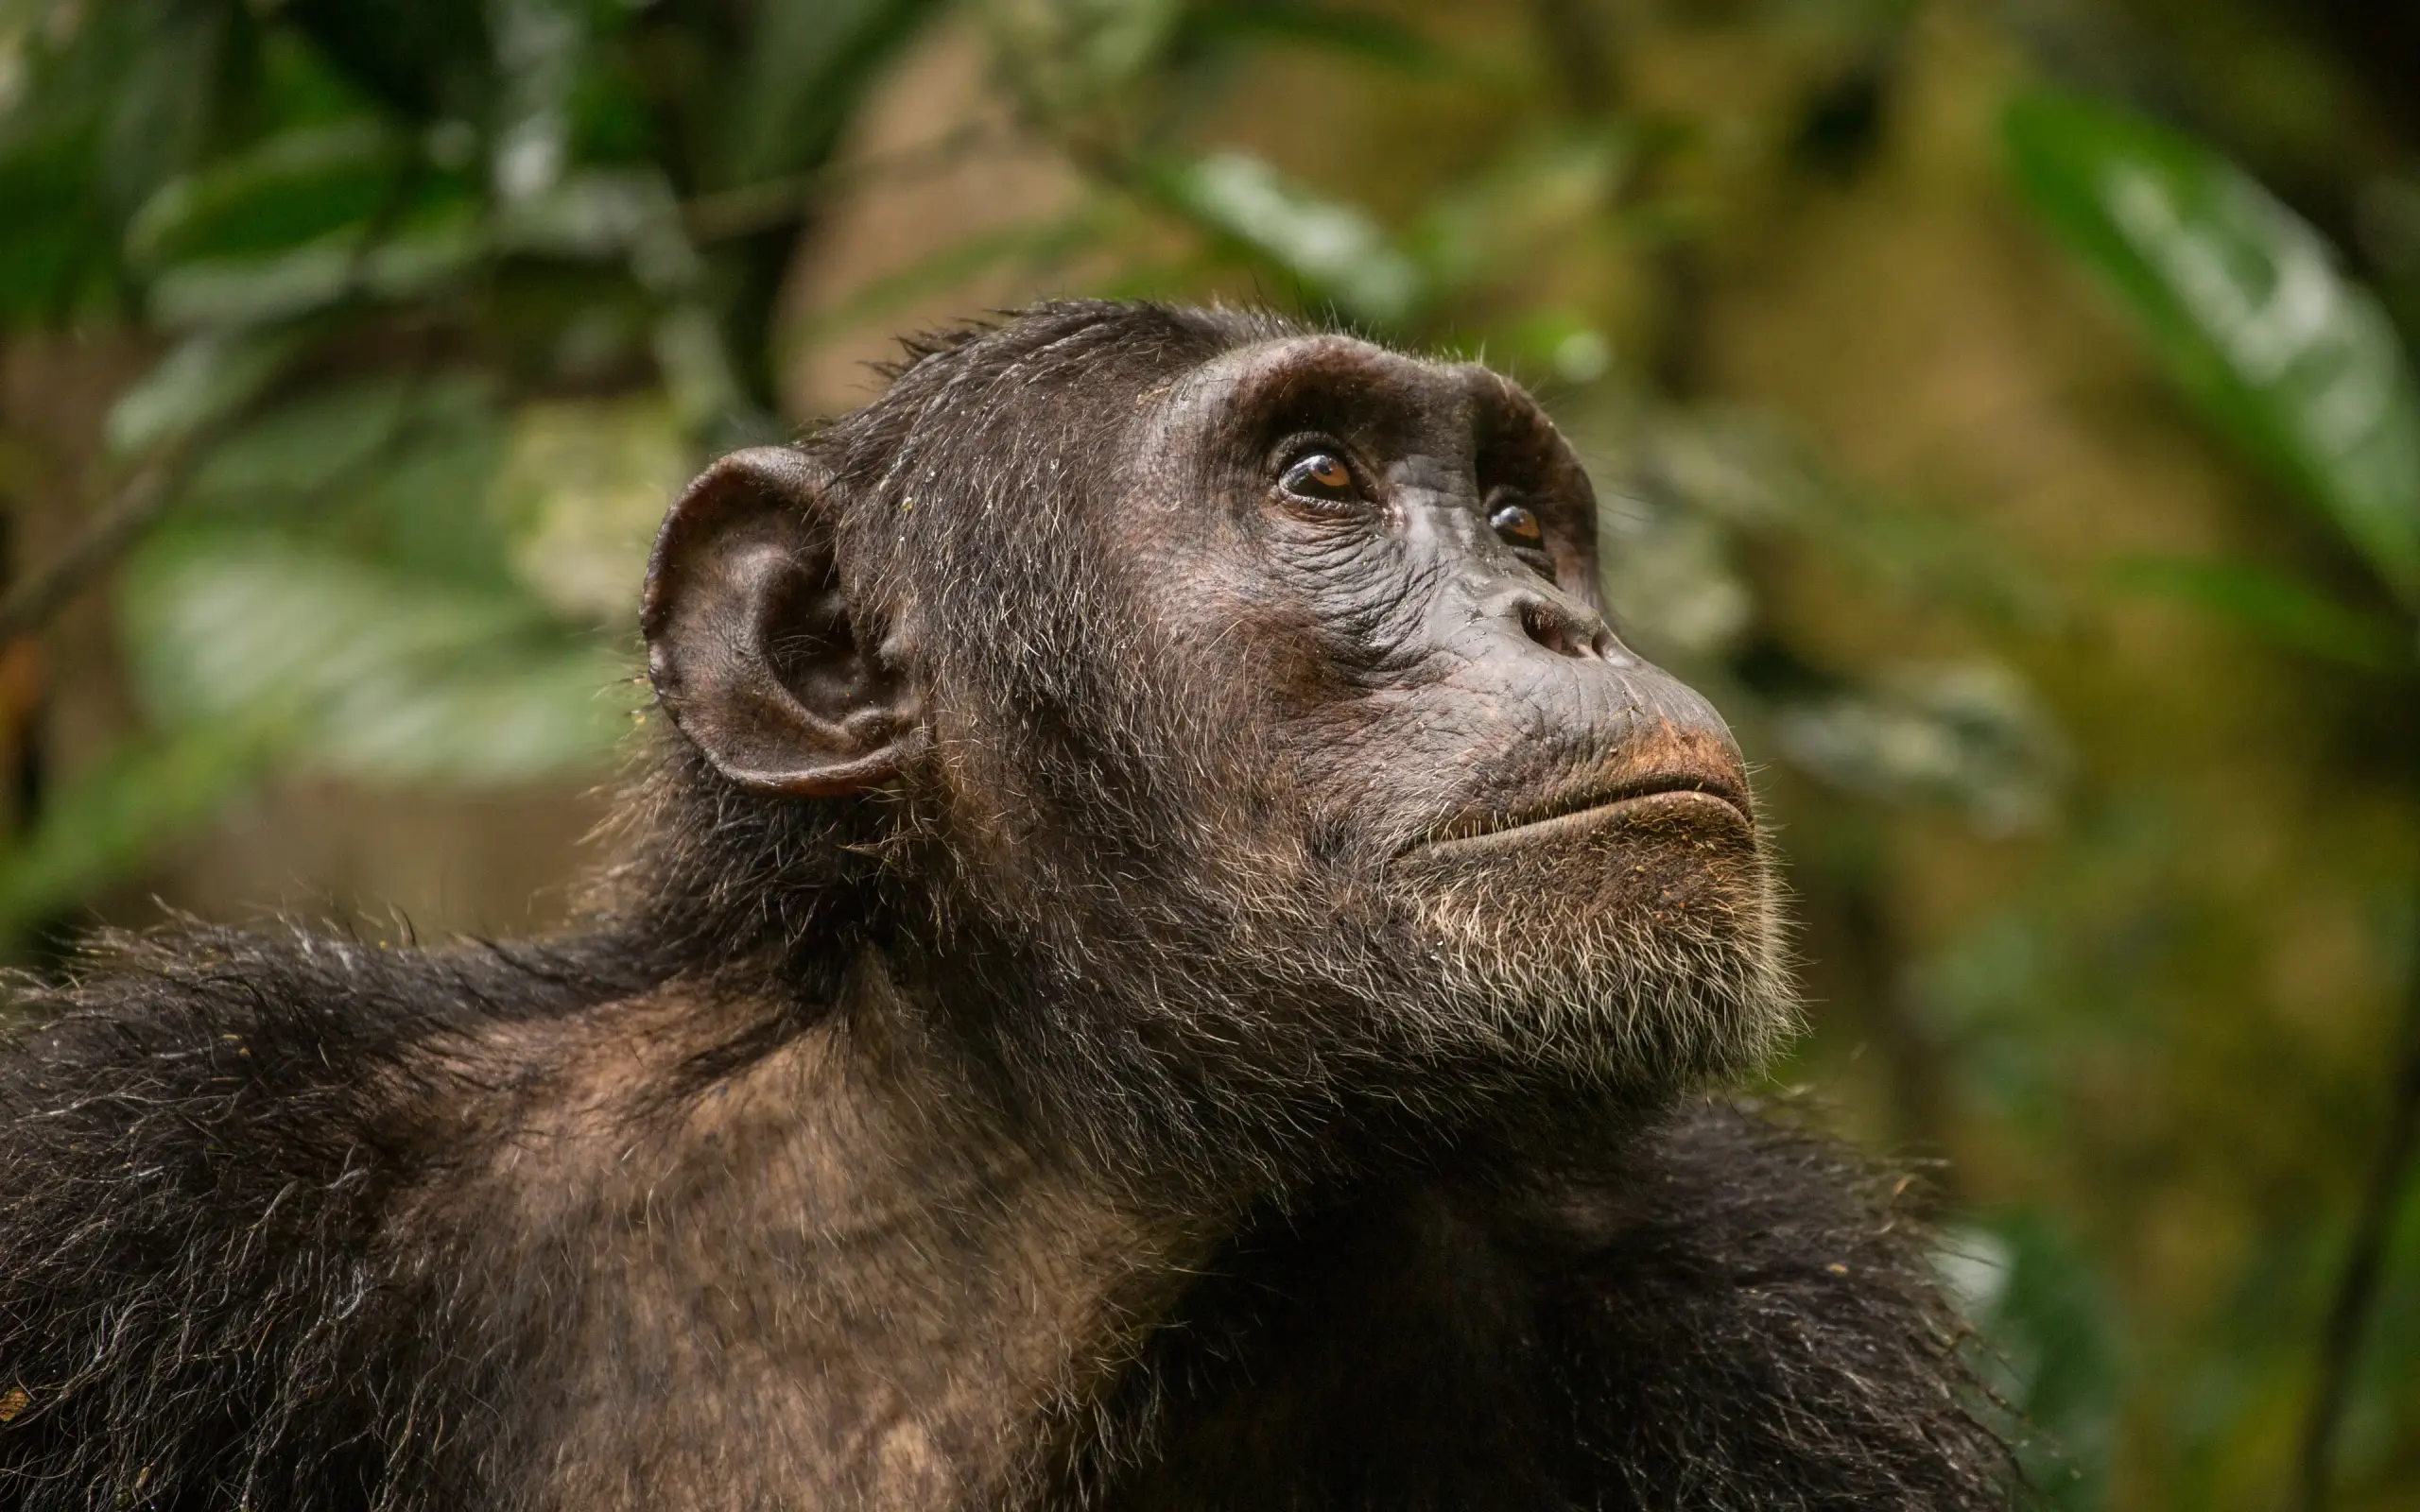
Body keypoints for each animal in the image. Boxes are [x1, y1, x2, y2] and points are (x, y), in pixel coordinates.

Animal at [0, 301, 2009, 1510]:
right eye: (1325, 480)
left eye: (1519, 521)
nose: (1559, 621)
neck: (1035, 1184)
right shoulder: (150, 1178)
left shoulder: (1770, 1324)